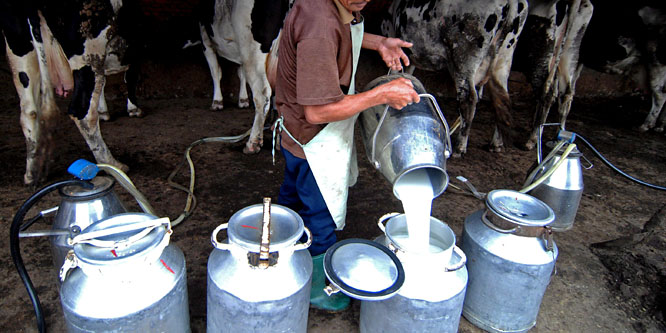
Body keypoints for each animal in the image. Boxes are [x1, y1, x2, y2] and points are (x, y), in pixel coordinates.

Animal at [1, 0, 140, 183]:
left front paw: (104, 111)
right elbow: (131, 75)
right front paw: (133, 109)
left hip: (20, 50)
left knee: (29, 112)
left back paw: (31, 173)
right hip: (89, 52)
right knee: (82, 113)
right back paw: (112, 164)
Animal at [197, 0, 290, 153]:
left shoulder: (204, 35)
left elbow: (215, 70)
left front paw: (217, 101)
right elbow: (241, 73)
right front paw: (243, 99)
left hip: (251, 50)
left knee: (262, 94)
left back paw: (252, 143)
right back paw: (280, 143)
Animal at [382, 0, 528, 156]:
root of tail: (511, 2)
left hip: (464, 58)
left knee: (469, 97)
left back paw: (460, 146)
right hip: (504, 58)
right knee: (502, 100)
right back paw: (496, 144)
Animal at [510, 0, 592, 149]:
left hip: (539, 56)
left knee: (546, 94)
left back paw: (533, 138)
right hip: (569, 53)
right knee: (565, 94)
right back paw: (558, 136)